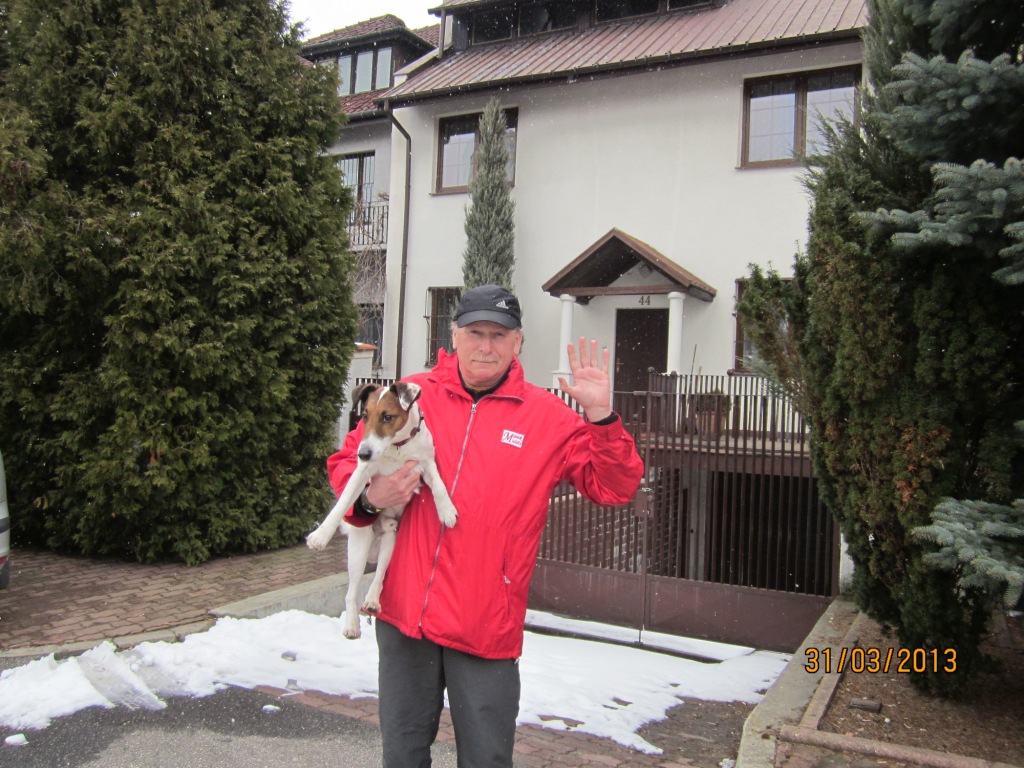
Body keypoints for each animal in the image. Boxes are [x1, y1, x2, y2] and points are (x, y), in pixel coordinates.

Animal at [306, 381, 457, 639]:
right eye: (365, 416)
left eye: (388, 417)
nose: (362, 453)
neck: (397, 447)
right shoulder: (362, 473)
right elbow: (342, 504)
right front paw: (320, 536)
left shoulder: (426, 463)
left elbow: (438, 485)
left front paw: (446, 510)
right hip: (358, 547)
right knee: (352, 590)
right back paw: (352, 624)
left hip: (391, 540)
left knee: (379, 575)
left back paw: (372, 600)